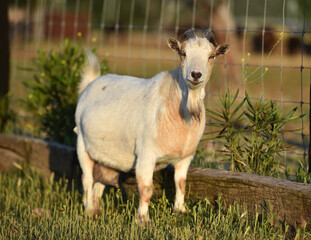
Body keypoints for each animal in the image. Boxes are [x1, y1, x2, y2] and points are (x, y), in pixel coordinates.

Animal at [75, 29, 230, 222]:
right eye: (183, 53)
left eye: (212, 56)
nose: (196, 75)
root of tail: (90, 84)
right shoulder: (146, 154)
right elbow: (147, 188)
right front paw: (143, 219)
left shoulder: (185, 157)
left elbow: (181, 183)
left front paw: (180, 211)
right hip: (82, 144)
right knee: (87, 180)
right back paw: (89, 210)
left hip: (105, 155)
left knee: (100, 181)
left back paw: (96, 210)